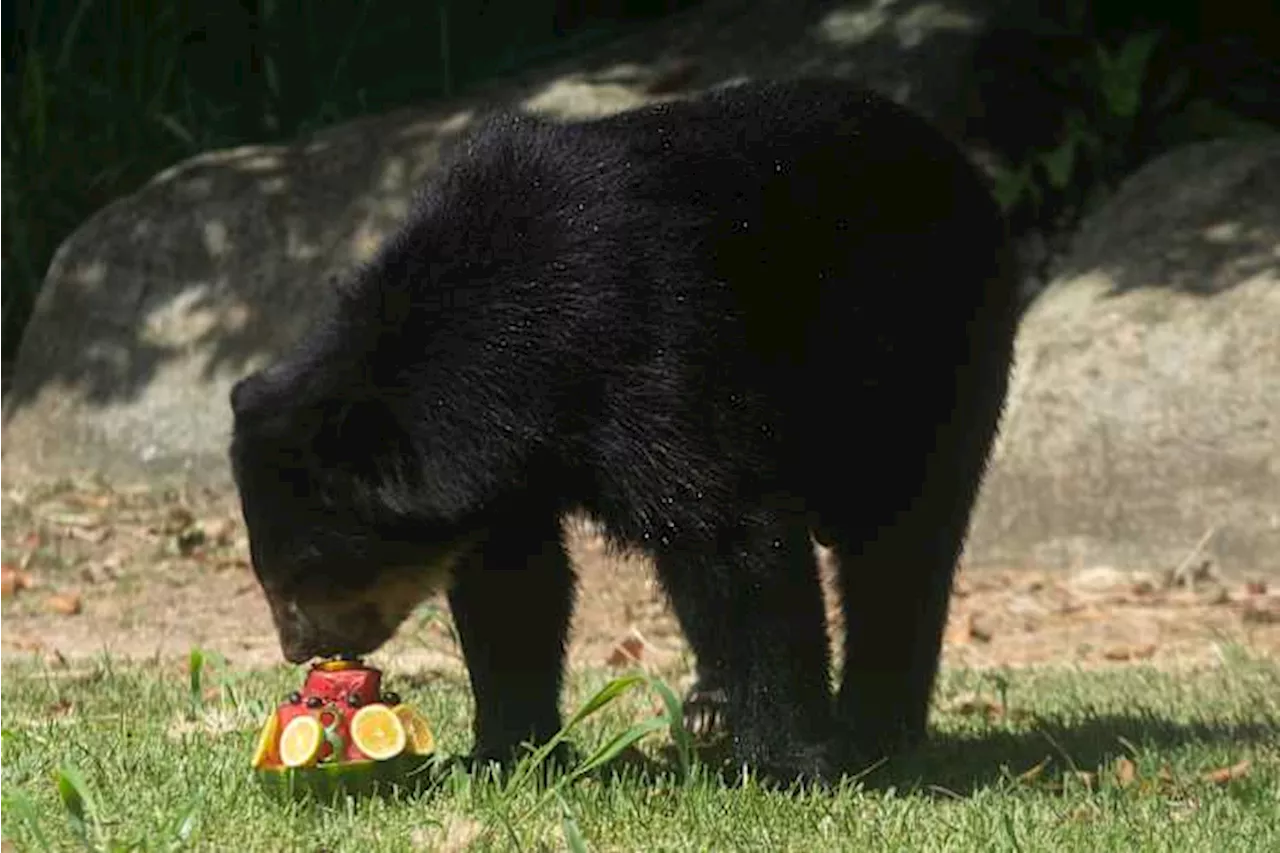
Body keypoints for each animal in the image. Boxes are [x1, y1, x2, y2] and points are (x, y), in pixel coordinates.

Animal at [230, 78, 1018, 783]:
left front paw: (790, 763)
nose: (303, 647)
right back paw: (711, 706)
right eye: (272, 575)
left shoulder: (660, 347)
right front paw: (502, 753)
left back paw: (873, 727)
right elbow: (515, 583)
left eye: (310, 571)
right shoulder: (506, 464)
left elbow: (734, 532)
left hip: (925, 350)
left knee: (902, 540)